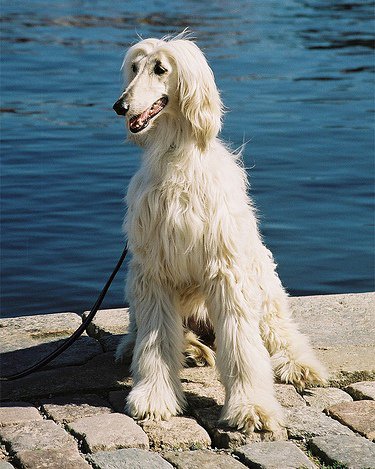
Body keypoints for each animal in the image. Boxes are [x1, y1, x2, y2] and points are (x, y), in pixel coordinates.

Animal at [113, 34, 328, 434]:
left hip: (263, 277)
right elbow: (154, 339)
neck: (175, 153)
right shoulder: (153, 269)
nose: (121, 107)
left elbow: (242, 343)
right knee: (157, 331)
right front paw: (155, 397)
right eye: (134, 68)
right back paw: (183, 348)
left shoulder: (227, 268)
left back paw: (299, 365)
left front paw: (252, 407)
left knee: (279, 329)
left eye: (161, 69)